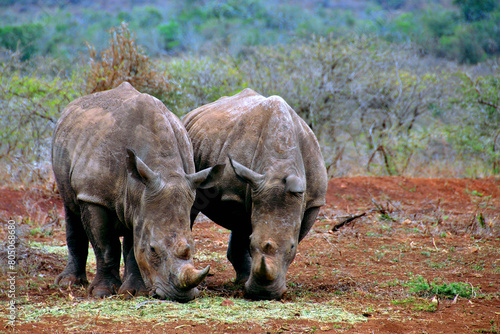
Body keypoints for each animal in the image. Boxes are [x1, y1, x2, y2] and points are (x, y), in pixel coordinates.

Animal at [51, 82, 222, 302]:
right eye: (152, 249)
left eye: (192, 247)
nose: (180, 295)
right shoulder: (93, 196)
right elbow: (106, 246)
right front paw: (102, 292)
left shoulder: (143, 201)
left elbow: (133, 246)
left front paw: (134, 292)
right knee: (71, 209)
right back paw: (69, 283)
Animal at [184, 88, 328, 300]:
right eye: (252, 243)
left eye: (292, 247)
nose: (264, 294)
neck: (280, 165)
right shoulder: (238, 192)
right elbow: (244, 231)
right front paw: (246, 281)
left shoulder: (313, 202)